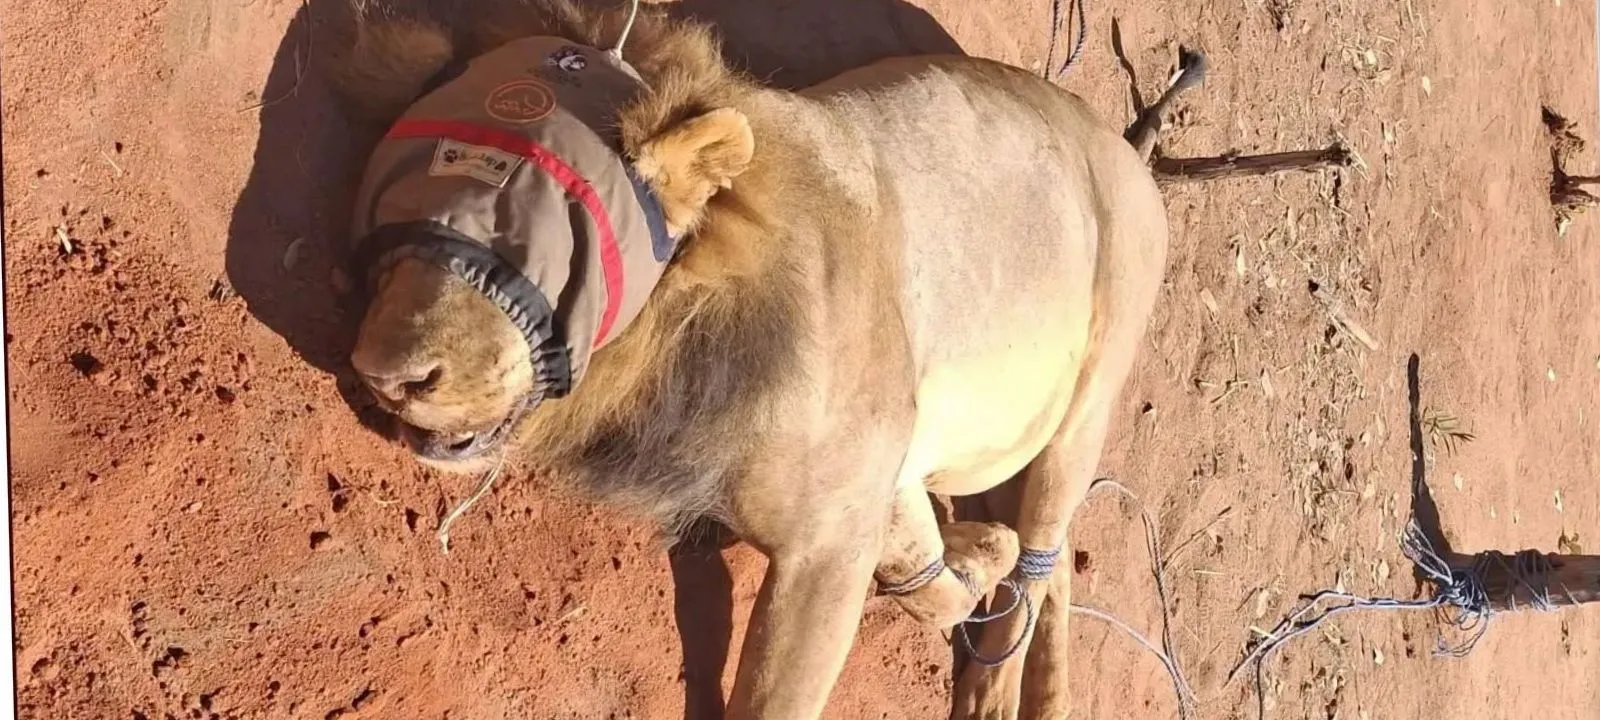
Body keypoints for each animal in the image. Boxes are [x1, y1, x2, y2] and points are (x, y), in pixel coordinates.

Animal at [331, 2, 1203, 717]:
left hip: (1092, 391)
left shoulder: (826, 548)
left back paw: (999, 694)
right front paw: (971, 551)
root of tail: (1124, 147)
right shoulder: (875, 483)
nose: (387, 376)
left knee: (1050, 554)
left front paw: (976, 561)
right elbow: (929, 566)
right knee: (1050, 565)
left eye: (542, 237)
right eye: (387, 223)